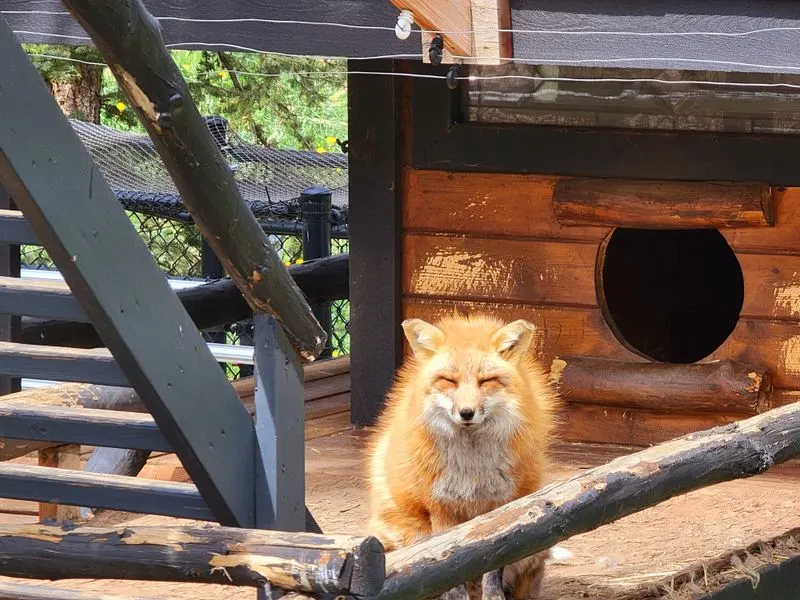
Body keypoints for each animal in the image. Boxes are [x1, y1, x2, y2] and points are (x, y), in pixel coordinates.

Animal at [365, 313, 560, 600]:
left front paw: (494, 596)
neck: (471, 469)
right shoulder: (441, 507)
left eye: (486, 381)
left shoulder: (501, 506)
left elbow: (494, 566)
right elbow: (448, 562)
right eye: (449, 381)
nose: (466, 413)